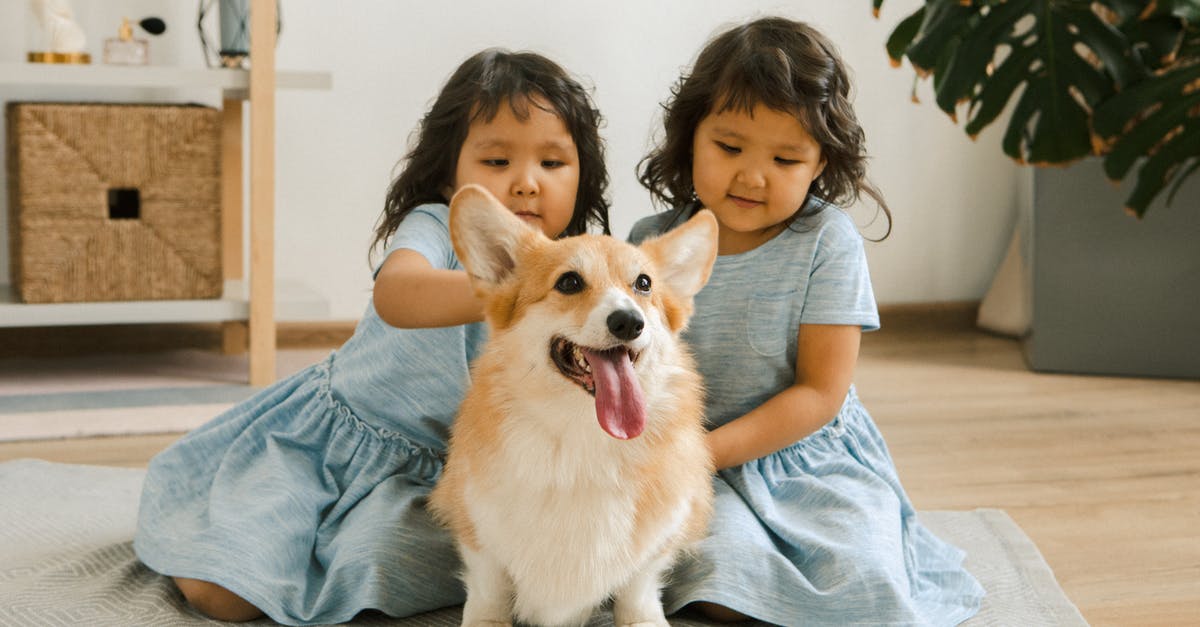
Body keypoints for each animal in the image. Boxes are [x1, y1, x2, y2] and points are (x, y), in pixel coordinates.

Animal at [429, 182, 715, 619]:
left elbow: (638, 589)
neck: (584, 442)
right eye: (569, 283)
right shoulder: (479, 536)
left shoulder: (659, 541)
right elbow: (488, 594)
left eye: (644, 284)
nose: (629, 322)